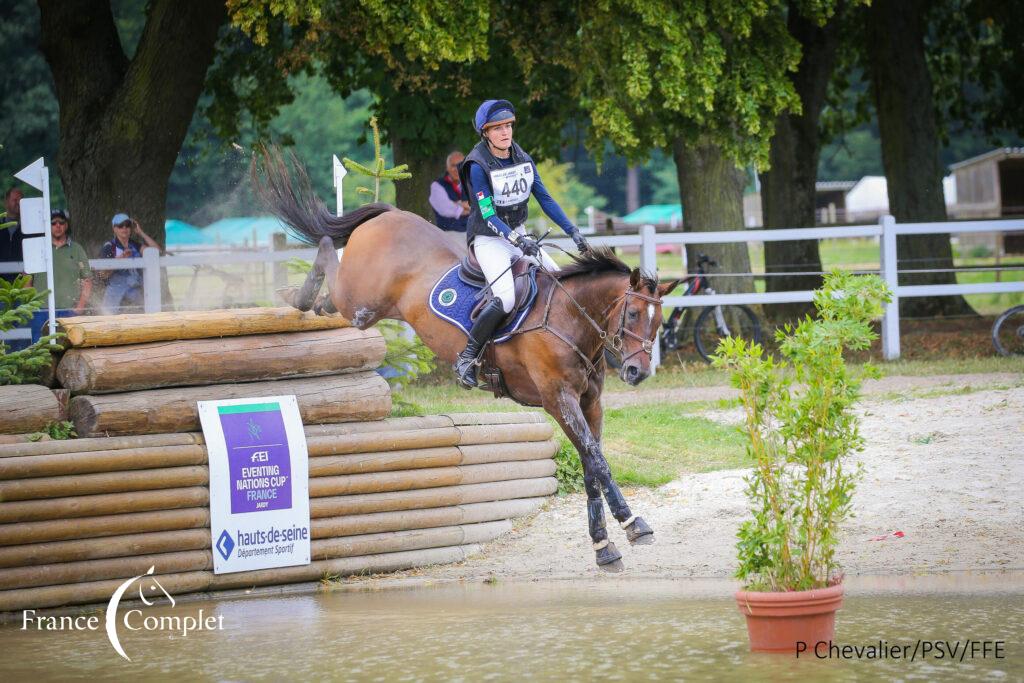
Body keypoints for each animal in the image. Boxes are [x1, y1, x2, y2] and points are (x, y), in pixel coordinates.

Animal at [251, 150, 675, 573]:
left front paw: (604, 543)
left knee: (328, 300)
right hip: (359, 299)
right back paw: (296, 294)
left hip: (363, 308)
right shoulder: (559, 401)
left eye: (658, 321)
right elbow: (597, 462)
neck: (569, 318)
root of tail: (389, 215)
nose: (637, 372)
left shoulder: (590, 402)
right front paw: (632, 525)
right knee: (327, 250)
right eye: (632, 314)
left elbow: (592, 463)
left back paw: (304, 300)